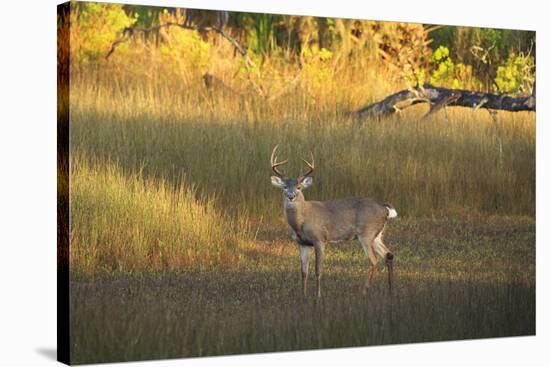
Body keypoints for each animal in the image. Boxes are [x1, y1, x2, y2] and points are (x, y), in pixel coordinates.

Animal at [270, 145, 396, 298]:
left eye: (299, 187)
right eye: (284, 187)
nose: (291, 196)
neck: (300, 222)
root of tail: (384, 209)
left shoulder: (320, 239)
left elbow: (318, 270)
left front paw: (318, 296)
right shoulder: (302, 243)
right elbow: (303, 272)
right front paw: (303, 295)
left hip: (366, 233)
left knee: (374, 259)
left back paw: (363, 291)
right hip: (377, 235)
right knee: (388, 255)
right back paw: (390, 291)